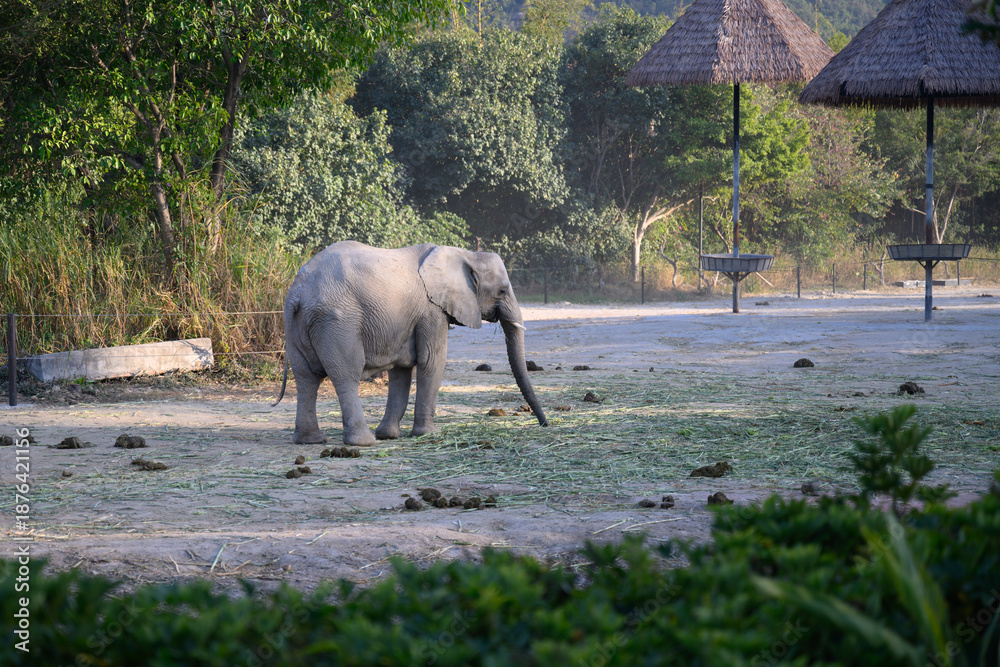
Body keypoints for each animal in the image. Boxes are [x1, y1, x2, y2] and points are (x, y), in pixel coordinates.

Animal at [273, 241, 548, 445]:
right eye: (502, 291)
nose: (543, 424)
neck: (466, 254)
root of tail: (297, 293)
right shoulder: (431, 310)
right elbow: (432, 361)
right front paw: (428, 435)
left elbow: (402, 371)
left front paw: (389, 436)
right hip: (337, 322)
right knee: (346, 375)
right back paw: (363, 443)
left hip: (296, 326)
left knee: (306, 379)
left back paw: (311, 440)